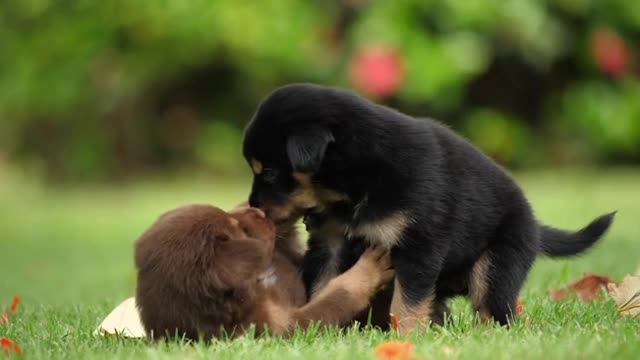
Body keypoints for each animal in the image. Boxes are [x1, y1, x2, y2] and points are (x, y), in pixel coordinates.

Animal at [135, 204, 392, 338]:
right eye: (239, 229)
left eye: (228, 213)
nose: (258, 210)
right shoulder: (283, 326)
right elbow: (336, 298)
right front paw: (369, 269)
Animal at [241, 83, 616, 332]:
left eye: (269, 172)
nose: (254, 207)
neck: (355, 186)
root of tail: (534, 224)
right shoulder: (330, 242)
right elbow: (323, 286)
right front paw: (323, 328)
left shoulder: (418, 245)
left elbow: (406, 303)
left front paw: (406, 337)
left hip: (498, 264)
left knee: (495, 311)